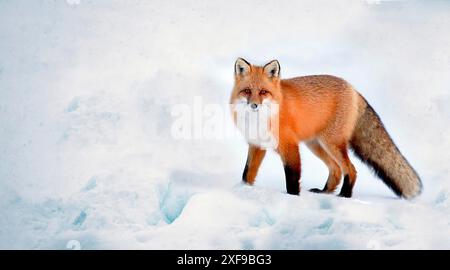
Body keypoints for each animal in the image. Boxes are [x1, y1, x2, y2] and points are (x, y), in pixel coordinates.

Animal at [230, 58, 424, 199]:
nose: (254, 105)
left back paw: (344, 196)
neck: (260, 120)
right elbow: (247, 173)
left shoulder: (290, 146)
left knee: (350, 169)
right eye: (247, 91)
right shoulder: (256, 145)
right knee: (336, 170)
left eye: (263, 92)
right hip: (316, 145)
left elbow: (292, 177)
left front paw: (292, 198)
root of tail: (353, 89)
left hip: (331, 143)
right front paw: (244, 190)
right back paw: (325, 192)